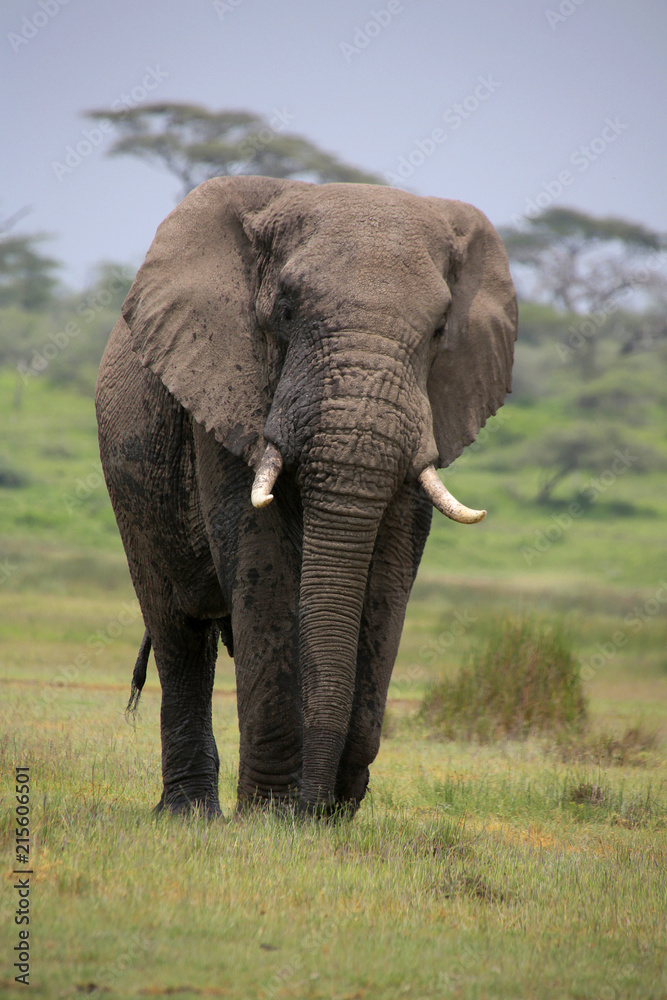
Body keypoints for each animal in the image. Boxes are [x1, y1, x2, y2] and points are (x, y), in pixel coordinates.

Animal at [95, 176, 517, 818]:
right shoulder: (226, 387)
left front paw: (329, 814)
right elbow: (263, 565)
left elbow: (388, 575)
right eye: (286, 312)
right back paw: (189, 816)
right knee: (178, 631)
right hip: (132, 482)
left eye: (441, 329)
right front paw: (270, 818)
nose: (315, 808)